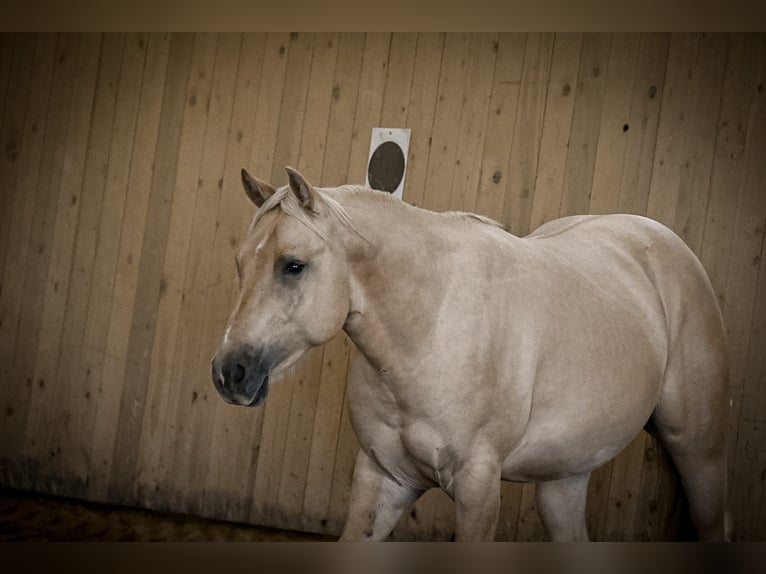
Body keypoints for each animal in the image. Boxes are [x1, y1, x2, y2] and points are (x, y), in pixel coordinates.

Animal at [210, 168, 732, 544]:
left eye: (293, 265)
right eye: (239, 263)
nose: (228, 372)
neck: (430, 327)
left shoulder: (478, 487)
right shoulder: (384, 477)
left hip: (699, 453)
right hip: (564, 477)